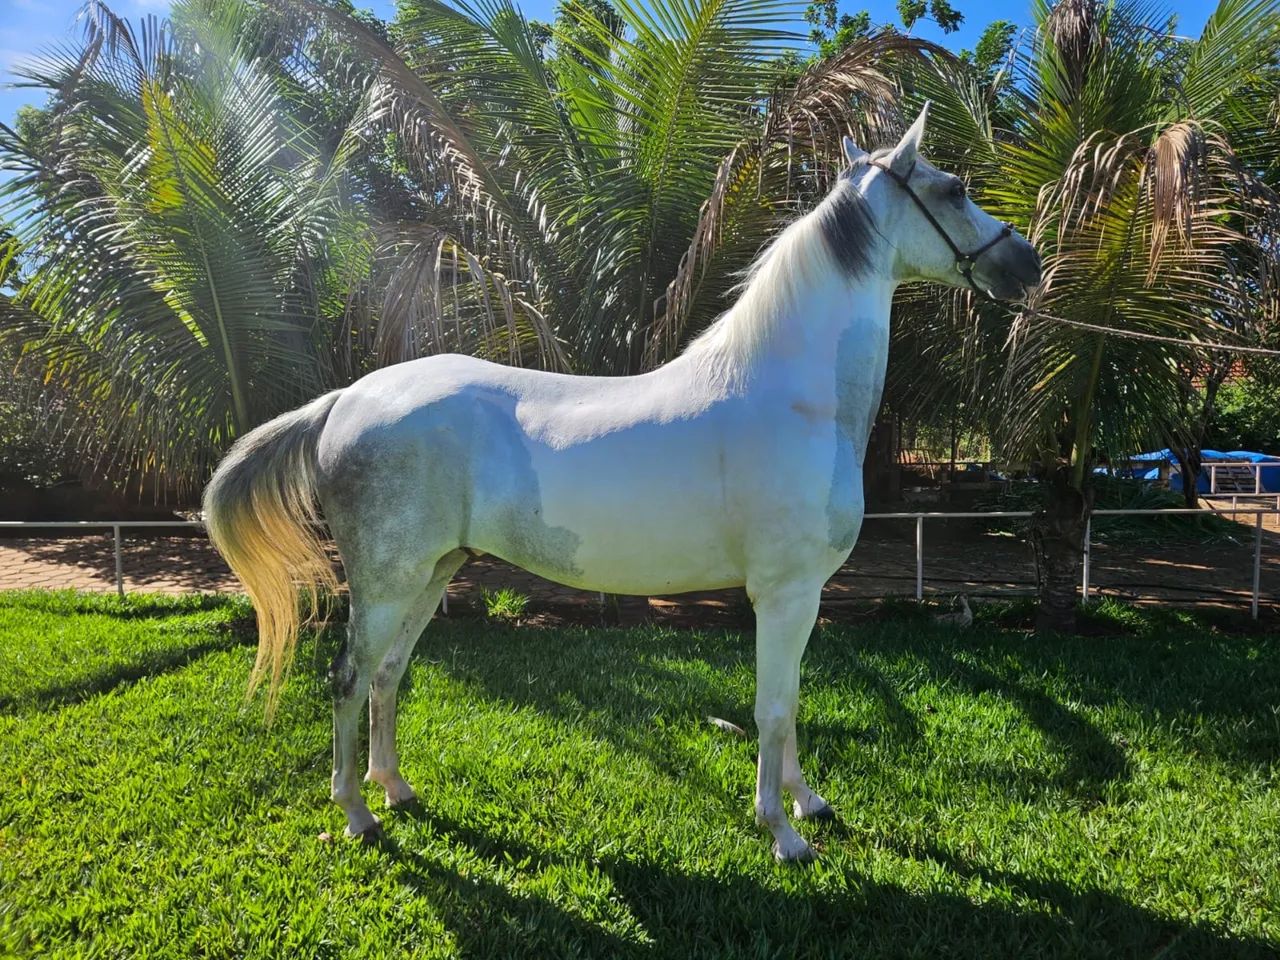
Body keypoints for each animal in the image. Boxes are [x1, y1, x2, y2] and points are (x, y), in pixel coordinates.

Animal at [204, 104, 1041, 862]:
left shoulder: (802, 599)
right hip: (386, 579)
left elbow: (793, 702)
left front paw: (810, 802)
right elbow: (771, 708)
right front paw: (783, 832)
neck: (796, 398)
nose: (1027, 264)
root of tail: (347, 397)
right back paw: (356, 813)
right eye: (955, 188)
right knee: (348, 677)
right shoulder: (784, 592)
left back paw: (396, 789)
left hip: (433, 573)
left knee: (386, 674)